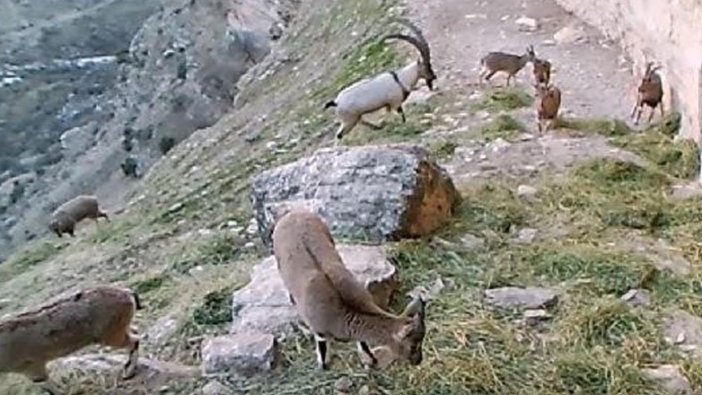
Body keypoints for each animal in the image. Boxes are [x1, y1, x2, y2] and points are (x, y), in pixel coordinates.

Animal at [0, 286, 143, 394]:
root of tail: (127, 293)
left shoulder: (31, 366)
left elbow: (49, 387)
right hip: (120, 327)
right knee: (135, 332)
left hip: (111, 334)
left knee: (134, 340)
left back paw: (128, 372)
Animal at [274, 212, 428, 370]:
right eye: (413, 346)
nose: (418, 360)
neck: (340, 311)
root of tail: (292, 214)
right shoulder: (318, 330)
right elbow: (322, 348)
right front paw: (323, 365)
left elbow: (363, 342)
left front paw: (372, 359)